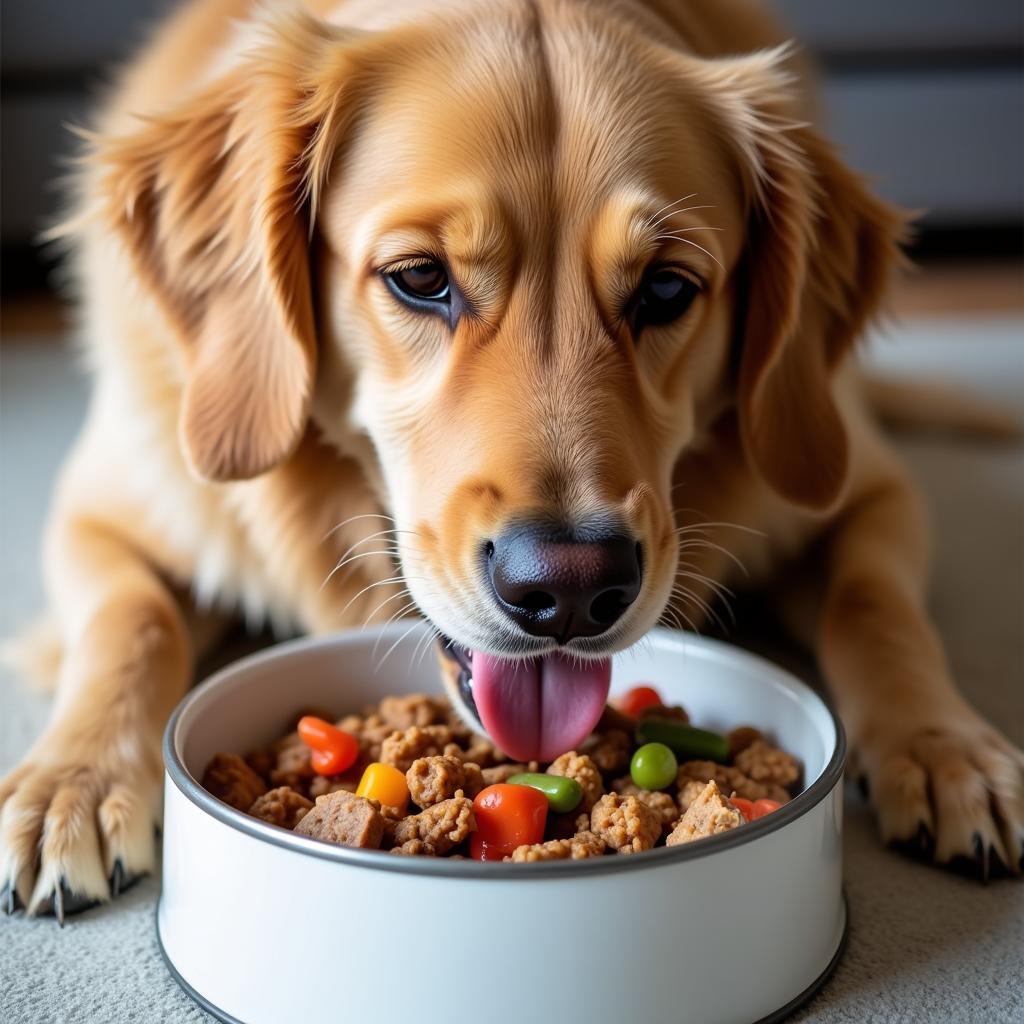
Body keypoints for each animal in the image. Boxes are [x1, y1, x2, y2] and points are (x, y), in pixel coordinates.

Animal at [0, 0, 1019, 921]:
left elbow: (876, 609)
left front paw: (947, 749)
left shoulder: (866, 487)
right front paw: (74, 785)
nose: (570, 588)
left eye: (667, 289)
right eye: (419, 278)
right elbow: (133, 623)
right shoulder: (105, 508)